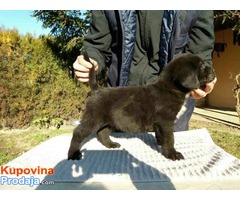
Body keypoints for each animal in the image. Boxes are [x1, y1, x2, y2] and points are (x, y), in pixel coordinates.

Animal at [67, 53, 216, 161]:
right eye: (202, 66)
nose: (214, 71)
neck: (170, 88)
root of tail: (97, 89)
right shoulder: (165, 121)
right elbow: (170, 138)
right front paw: (172, 154)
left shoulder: (160, 123)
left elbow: (161, 136)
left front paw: (161, 144)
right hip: (93, 117)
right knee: (78, 132)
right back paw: (73, 154)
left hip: (109, 120)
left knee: (102, 133)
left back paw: (111, 145)